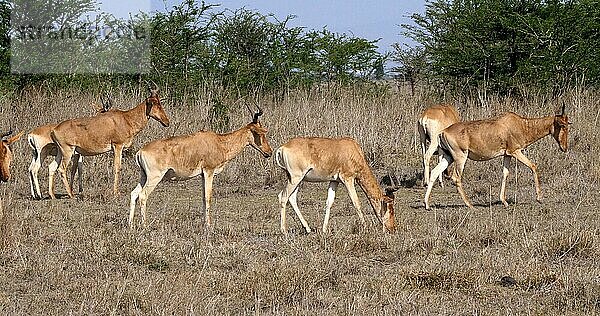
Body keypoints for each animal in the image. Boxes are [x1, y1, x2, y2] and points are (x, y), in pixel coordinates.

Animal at [131, 105, 274, 228]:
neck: (218, 141)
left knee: (134, 194)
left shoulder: (202, 175)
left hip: (144, 176)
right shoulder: (209, 171)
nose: (269, 152)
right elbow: (208, 197)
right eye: (260, 133)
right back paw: (144, 225)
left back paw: (130, 224)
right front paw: (208, 225)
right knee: (143, 195)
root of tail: (141, 151)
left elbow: (203, 197)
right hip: (154, 177)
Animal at [422, 106, 572, 210]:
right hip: (460, 157)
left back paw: (427, 204)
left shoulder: (507, 155)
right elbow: (533, 166)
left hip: (448, 157)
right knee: (456, 177)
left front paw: (504, 201)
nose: (564, 148)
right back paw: (470, 205)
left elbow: (505, 174)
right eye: (563, 126)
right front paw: (539, 198)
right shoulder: (515, 151)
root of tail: (443, 132)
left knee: (435, 172)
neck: (519, 124)